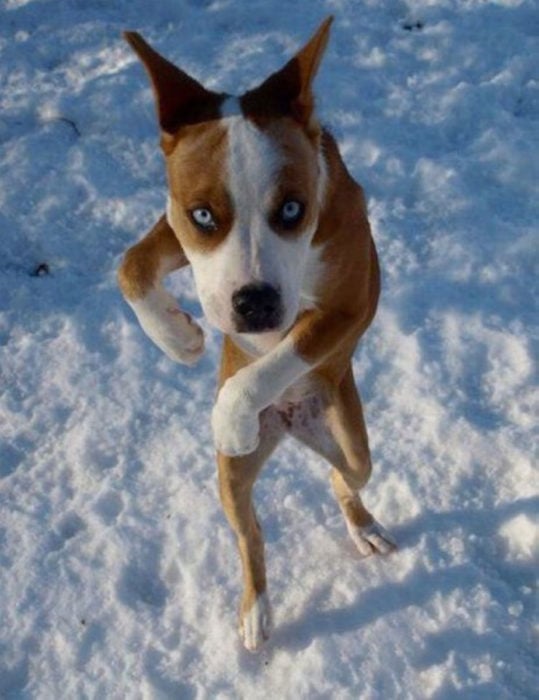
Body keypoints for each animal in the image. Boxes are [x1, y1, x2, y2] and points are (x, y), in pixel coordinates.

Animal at [119, 16, 396, 652]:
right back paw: (256, 610)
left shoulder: (345, 308)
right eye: (204, 215)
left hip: (351, 443)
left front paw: (230, 415)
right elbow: (132, 263)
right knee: (252, 536)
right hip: (231, 480)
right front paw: (178, 337)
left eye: (293, 209)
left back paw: (361, 525)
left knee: (345, 478)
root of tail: (289, 425)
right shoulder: (176, 226)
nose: (255, 304)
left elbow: (277, 358)